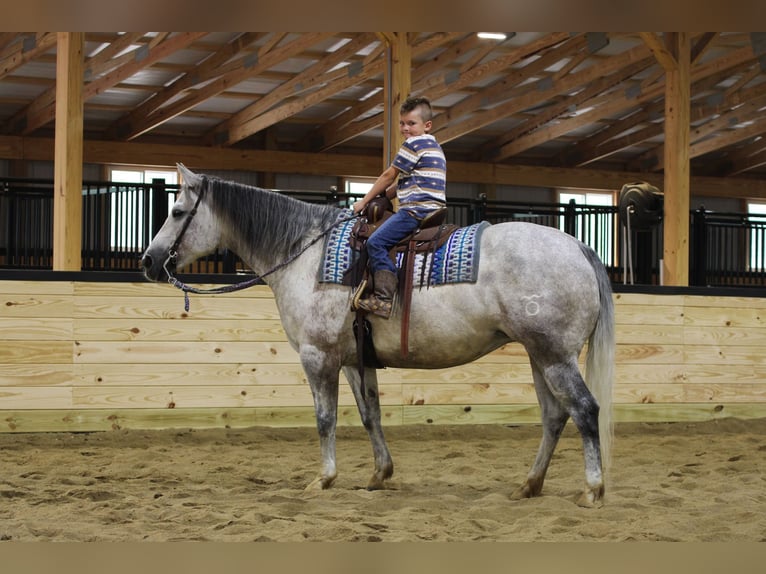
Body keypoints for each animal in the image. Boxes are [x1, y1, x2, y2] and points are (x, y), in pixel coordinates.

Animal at [141, 164, 615, 507]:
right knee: (554, 417)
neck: (305, 252)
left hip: (554, 355)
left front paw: (324, 478)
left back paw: (592, 489)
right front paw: (379, 474)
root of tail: (578, 247)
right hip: (540, 356)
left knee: (585, 410)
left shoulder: (318, 357)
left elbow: (325, 418)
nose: (148, 260)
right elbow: (371, 415)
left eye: (178, 213)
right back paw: (529, 485)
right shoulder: (354, 359)